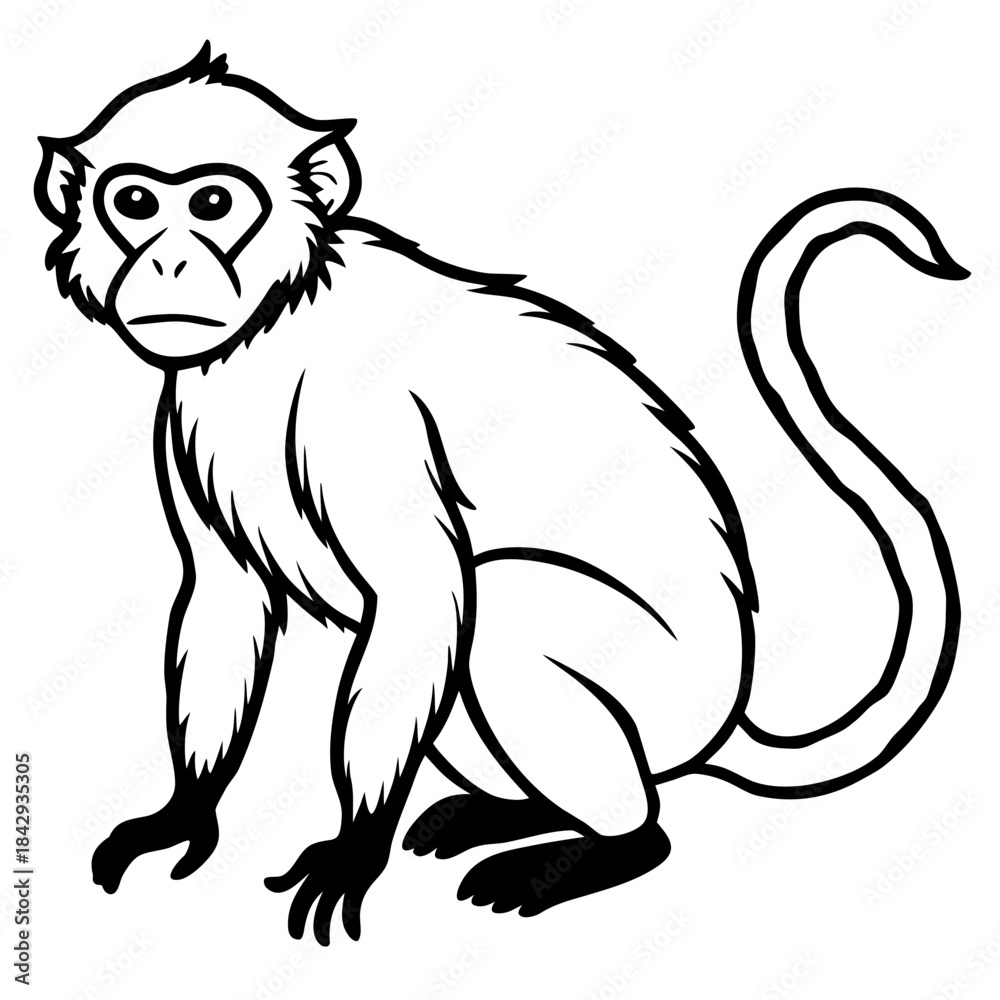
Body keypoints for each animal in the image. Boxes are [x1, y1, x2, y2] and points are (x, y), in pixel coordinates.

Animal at [35, 43, 963, 944]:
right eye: (135, 202)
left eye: (215, 202)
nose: (169, 261)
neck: (272, 326)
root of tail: (725, 717)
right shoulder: (185, 407)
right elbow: (227, 597)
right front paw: (185, 812)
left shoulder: (366, 418)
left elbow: (422, 595)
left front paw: (352, 846)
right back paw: (514, 813)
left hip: (669, 687)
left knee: (502, 601)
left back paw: (610, 843)